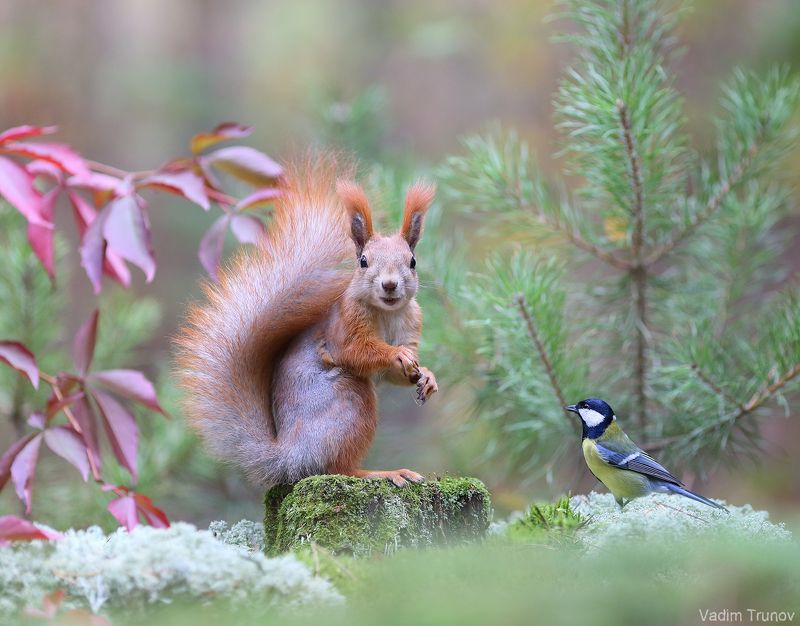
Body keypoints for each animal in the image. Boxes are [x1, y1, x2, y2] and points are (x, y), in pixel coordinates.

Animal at [175, 157, 438, 488]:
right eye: (363, 261)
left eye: (412, 262)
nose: (389, 285)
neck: (387, 313)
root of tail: (289, 454)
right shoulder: (343, 325)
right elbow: (355, 351)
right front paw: (395, 354)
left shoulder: (411, 323)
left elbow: (395, 374)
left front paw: (426, 376)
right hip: (351, 401)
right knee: (339, 467)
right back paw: (383, 472)